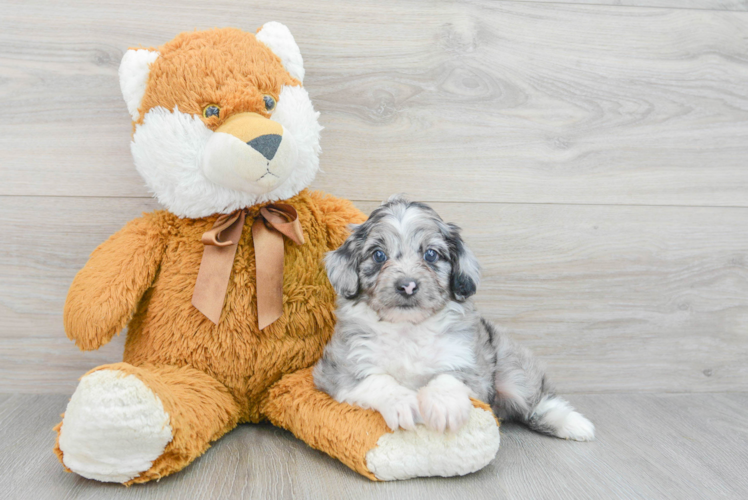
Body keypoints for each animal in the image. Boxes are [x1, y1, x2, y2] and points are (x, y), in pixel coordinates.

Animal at [316, 196, 596, 442]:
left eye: (430, 255)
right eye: (378, 255)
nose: (407, 286)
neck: (408, 328)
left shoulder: (469, 362)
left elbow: (448, 377)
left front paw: (444, 405)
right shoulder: (338, 368)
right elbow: (378, 380)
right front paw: (402, 402)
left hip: (512, 369)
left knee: (537, 401)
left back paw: (573, 424)